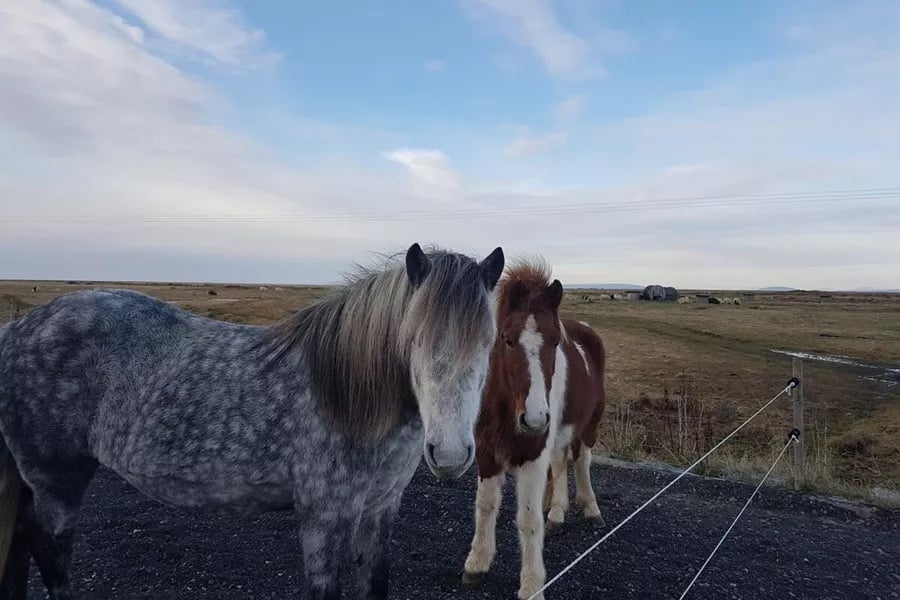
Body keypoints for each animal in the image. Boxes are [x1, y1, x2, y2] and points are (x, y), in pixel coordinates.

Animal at [0, 242, 505, 600]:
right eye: (413, 339)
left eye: (488, 342)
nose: (450, 454)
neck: (345, 393)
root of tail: (18, 329)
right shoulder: (324, 516)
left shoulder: (381, 510)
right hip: (57, 480)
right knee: (47, 550)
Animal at [461, 258, 606, 600]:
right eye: (507, 339)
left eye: (555, 342)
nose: (536, 418)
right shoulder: (487, 452)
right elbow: (485, 505)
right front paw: (477, 563)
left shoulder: (533, 455)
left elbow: (528, 519)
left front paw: (531, 586)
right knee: (561, 461)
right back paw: (556, 511)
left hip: (589, 425)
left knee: (582, 461)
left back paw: (590, 507)